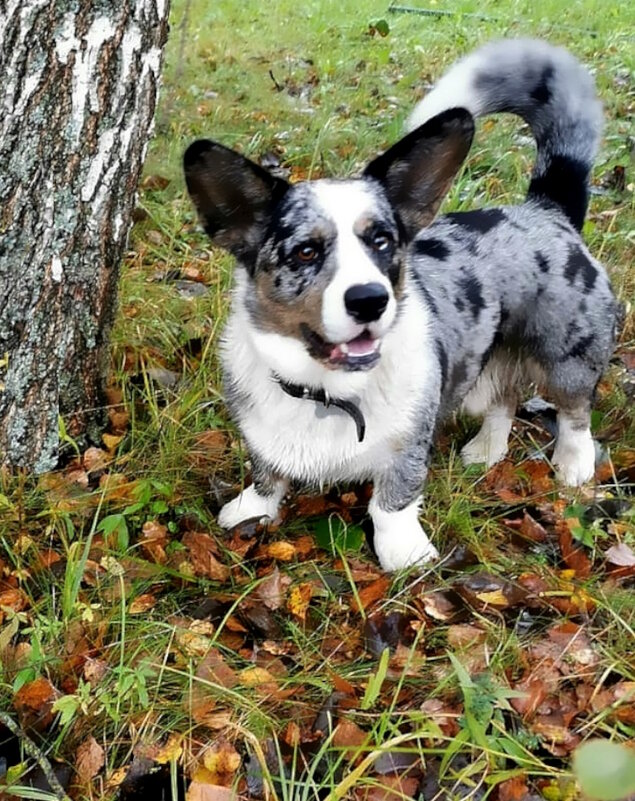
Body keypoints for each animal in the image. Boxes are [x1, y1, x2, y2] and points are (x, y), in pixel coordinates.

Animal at [181, 40, 620, 572]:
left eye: (382, 241)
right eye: (306, 251)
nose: (371, 300)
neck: (329, 392)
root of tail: (546, 210)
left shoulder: (408, 444)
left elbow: (392, 501)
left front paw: (404, 554)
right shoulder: (262, 436)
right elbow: (267, 473)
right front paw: (251, 510)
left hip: (567, 357)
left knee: (575, 412)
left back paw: (573, 466)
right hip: (490, 359)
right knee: (504, 399)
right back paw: (484, 451)